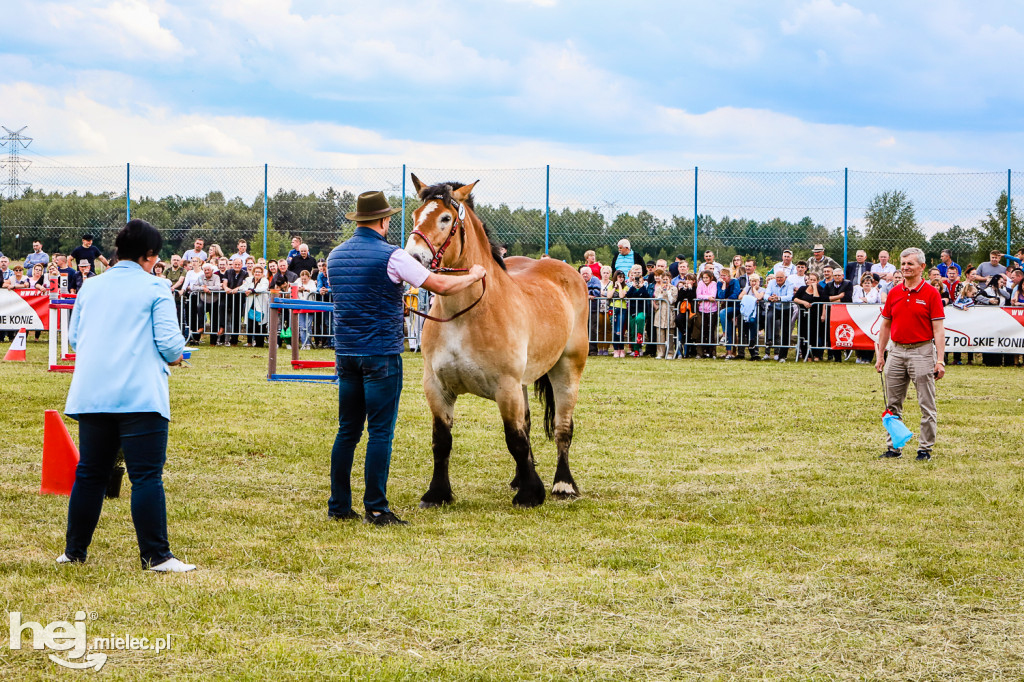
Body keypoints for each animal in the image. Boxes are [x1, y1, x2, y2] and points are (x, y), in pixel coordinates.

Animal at [405, 175, 589, 503]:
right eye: (415, 215)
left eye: (445, 218)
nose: (412, 258)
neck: (465, 314)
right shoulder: (437, 387)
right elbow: (442, 440)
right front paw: (437, 493)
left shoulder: (506, 387)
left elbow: (514, 438)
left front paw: (530, 494)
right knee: (528, 424)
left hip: (567, 369)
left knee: (562, 427)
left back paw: (563, 484)